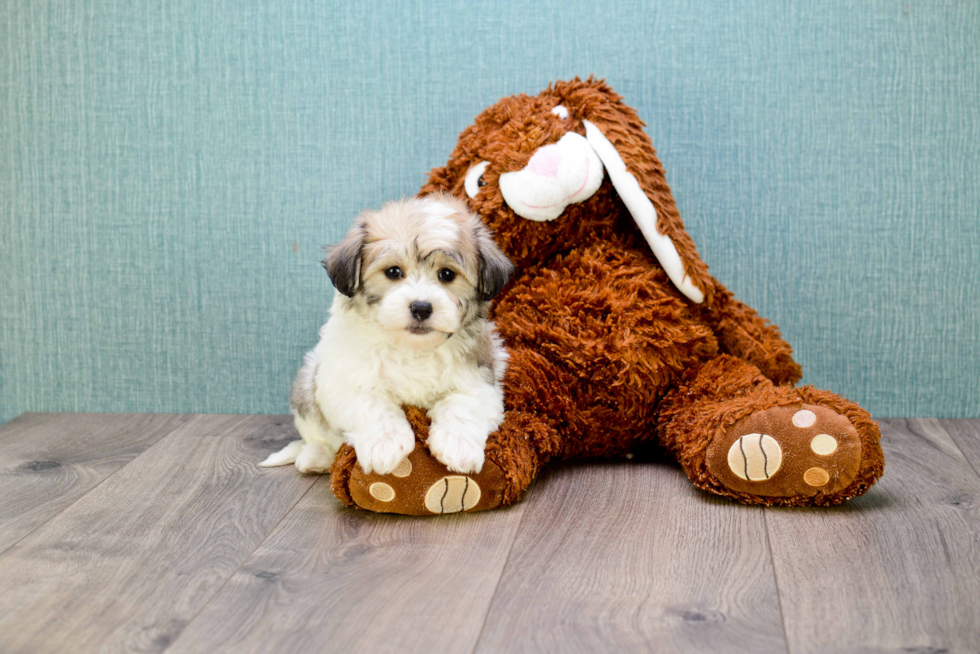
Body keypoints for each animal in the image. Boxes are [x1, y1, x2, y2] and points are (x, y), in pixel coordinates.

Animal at [260, 193, 512, 476]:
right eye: (393, 272)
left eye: (447, 274)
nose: (421, 307)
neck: (412, 347)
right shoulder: (343, 380)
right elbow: (372, 405)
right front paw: (386, 445)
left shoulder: (480, 379)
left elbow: (463, 405)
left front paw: (457, 446)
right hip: (307, 384)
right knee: (319, 436)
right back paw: (315, 457)